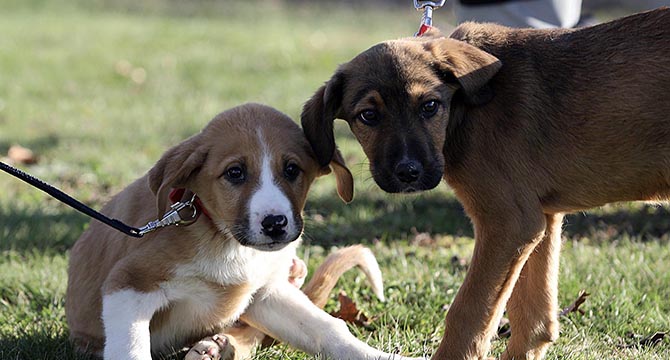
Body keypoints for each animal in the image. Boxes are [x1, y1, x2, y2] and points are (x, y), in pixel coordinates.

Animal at [64, 102, 420, 360]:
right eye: (235, 173)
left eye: (292, 169)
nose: (275, 223)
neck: (225, 240)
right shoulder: (129, 282)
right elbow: (131, 349)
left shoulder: (266, 294)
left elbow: (329, 331)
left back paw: (214, 347)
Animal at [302, 7, 670, 360]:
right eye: (368, 116)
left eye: (430, 106)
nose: (408, 172)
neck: (465, 110)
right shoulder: (539, 219)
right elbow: (533, 319)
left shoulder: (507, 222)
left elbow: (467, 313)